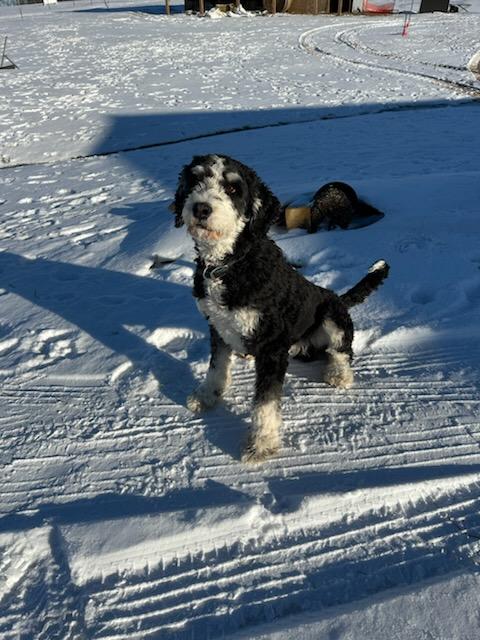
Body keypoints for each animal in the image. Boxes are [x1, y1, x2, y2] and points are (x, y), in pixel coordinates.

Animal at [173, 154, 389, 463]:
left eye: (234, 189)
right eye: (195, 179)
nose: (201, 208)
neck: (231, 263)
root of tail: (338, 298)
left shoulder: (272, 346)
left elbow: (266, 401)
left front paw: (261, 443)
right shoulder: (217, 326)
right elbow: (216, 366)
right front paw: (207, 396)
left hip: (331, 316)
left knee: (342, 351)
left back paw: (339, 374)